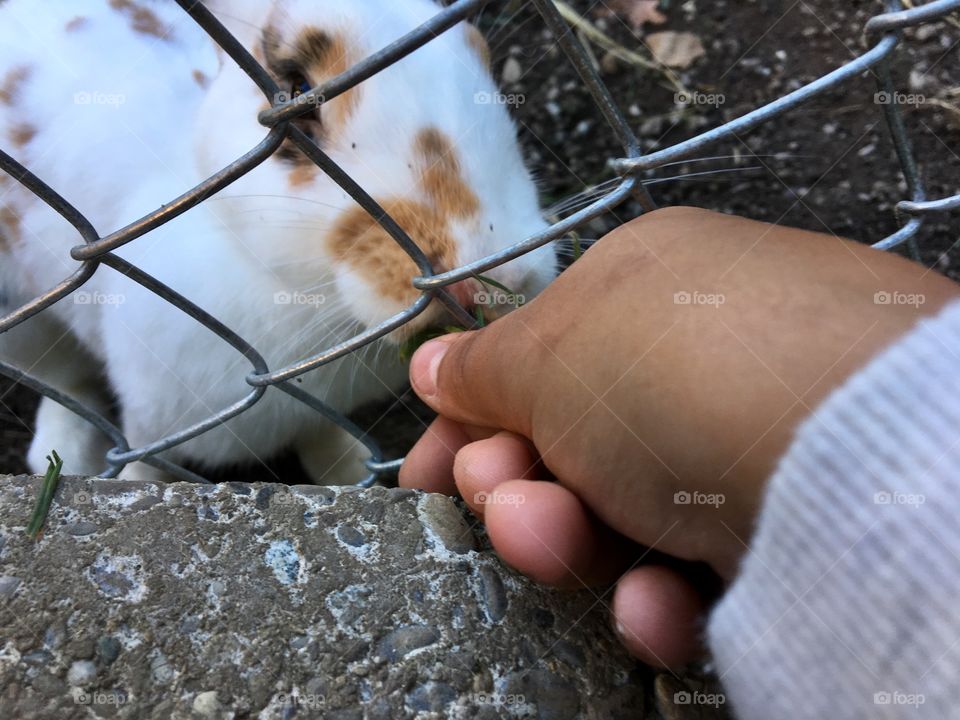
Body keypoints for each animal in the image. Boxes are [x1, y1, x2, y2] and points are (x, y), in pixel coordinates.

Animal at [0, 1, 556, 484]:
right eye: (297, 87)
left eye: (485, 65)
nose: (496, 278)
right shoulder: (151, 416)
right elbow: (145, 457)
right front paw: (134, 484)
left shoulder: (320, 412)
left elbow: (322, 433)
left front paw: (347, 473)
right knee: (61, 378)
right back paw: (66, 456)